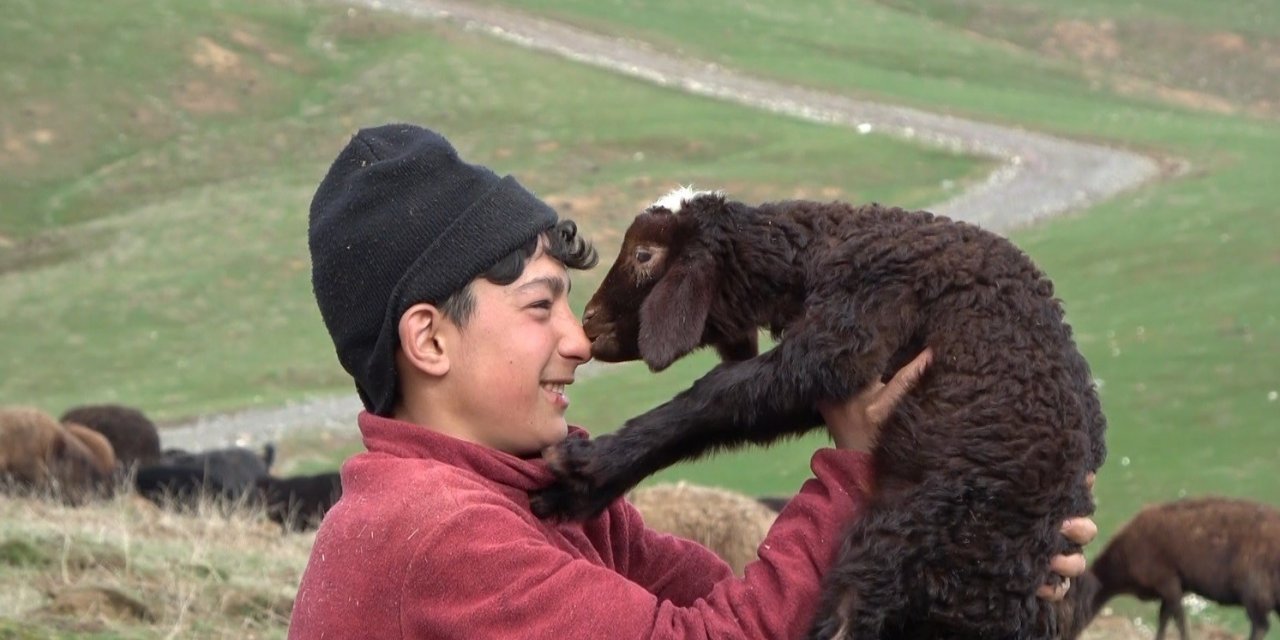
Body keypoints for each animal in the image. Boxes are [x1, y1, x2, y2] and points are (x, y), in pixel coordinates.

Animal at [1070, 496, 1280, 640]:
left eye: (1070, 599)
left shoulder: (1167, 581)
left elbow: (1178, 619)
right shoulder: (1170, 587)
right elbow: (1165, 618)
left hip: (1254, 590)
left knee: (1261, 625)